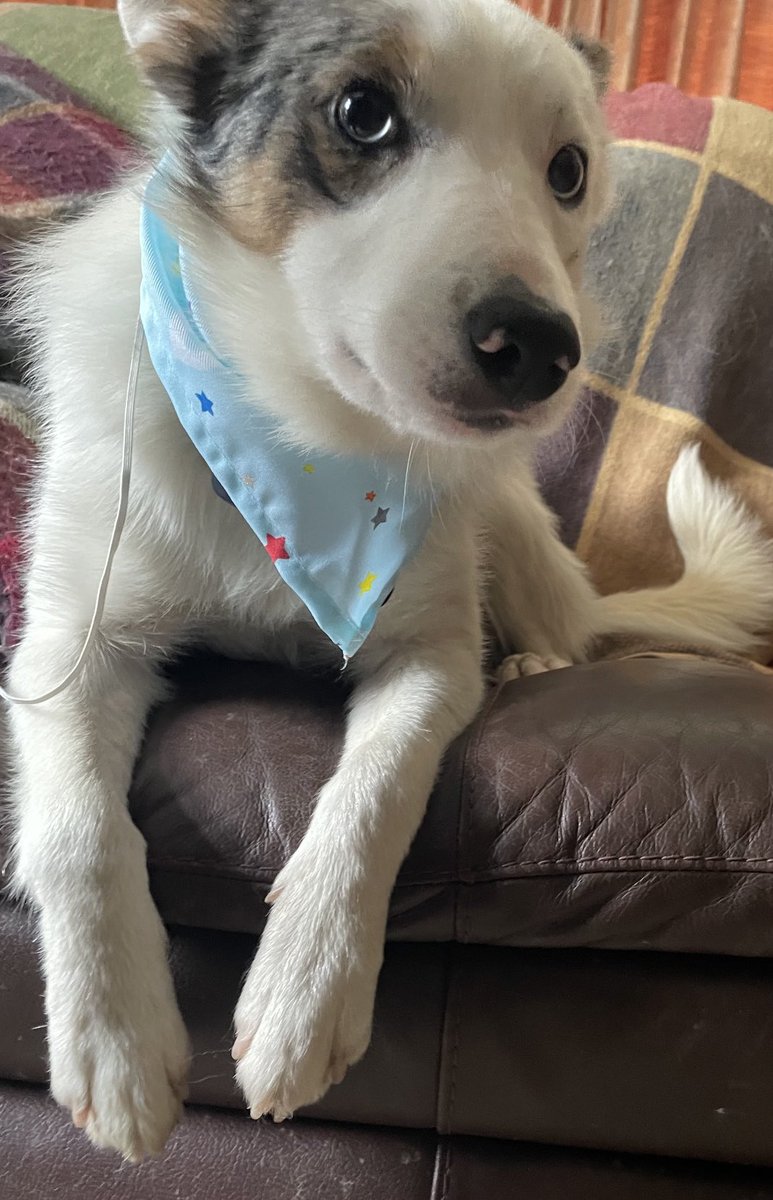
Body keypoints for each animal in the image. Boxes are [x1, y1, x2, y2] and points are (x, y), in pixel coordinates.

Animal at [6, 0, 773, 1166]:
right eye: (362, 113)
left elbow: (375, 791)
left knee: (565, 624)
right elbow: (78, 832)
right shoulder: (66, 648)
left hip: (506, 513)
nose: (539, 348)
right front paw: (114, 1036)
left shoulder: (429, 657)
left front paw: (304, 995)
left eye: (566, 170)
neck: (305, 439)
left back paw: (538, 657)